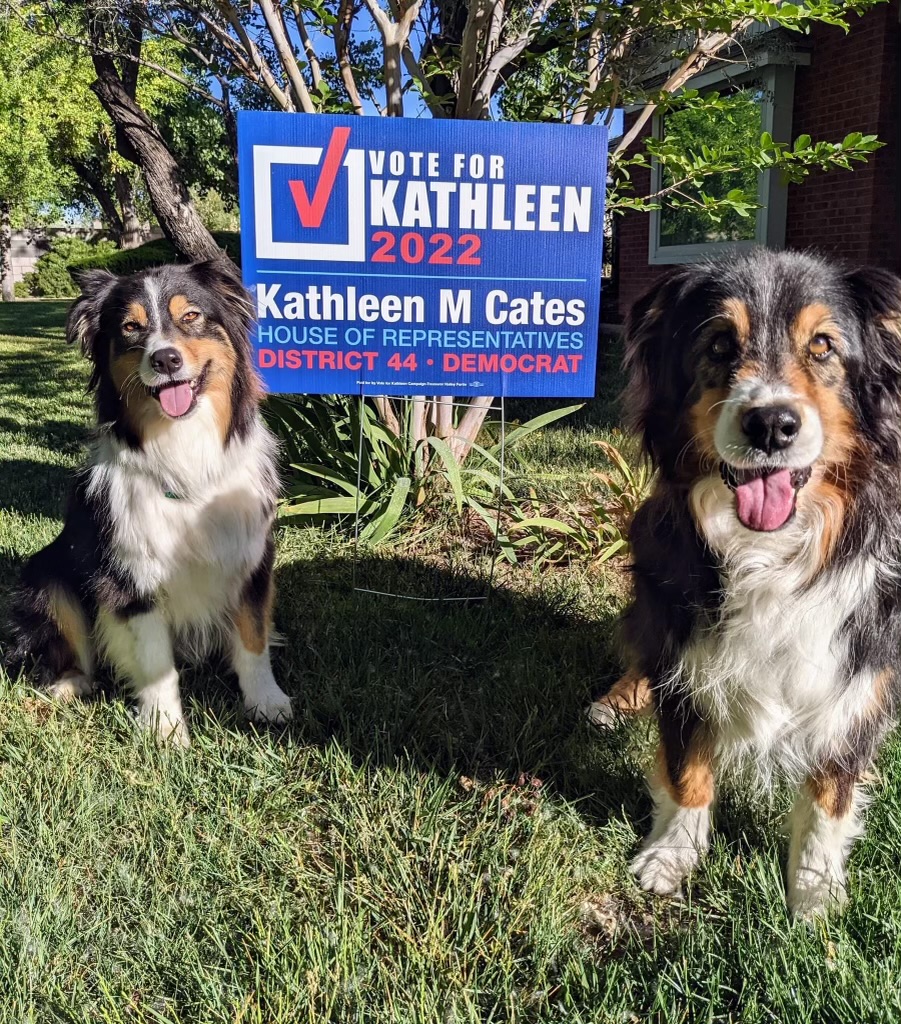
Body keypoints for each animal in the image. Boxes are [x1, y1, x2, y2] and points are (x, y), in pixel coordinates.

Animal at [9, 260, 292, 749]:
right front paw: (165, 730)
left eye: (191, 316)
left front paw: (265, 702)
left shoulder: (252, 559)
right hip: (46, 576)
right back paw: (69, 683)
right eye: (130, 327)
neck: (185, 454)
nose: (165, 359)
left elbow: (253, 637)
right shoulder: (132, 577)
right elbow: (157, 662)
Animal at [606, 249, 901, 921]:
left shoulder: (857, 678)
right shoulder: (683, 653)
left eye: (823, 346)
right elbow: (687, 766)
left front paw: (814, 899)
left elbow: (830, 796)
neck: (771, 552)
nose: (771, 425)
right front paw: (670, 858)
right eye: (719, 344)